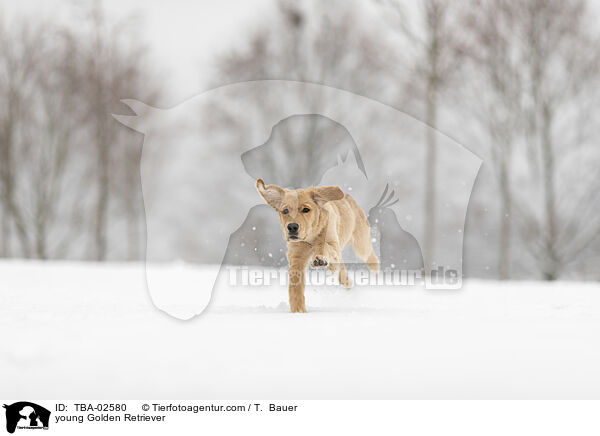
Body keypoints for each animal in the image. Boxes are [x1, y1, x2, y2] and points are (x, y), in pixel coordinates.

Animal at [254, 179, 378, 312]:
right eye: (285, 211)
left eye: (306, 210)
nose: (292, 227)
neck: (310, 237)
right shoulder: (296, 258)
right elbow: (295, 287)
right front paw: (298, 310)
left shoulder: (333, 242)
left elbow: (323, 244)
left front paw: (320, 258)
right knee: (341, 270)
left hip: (361, 245)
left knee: (368, 255)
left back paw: (374, 269)